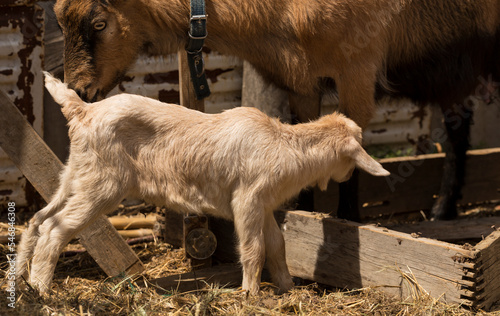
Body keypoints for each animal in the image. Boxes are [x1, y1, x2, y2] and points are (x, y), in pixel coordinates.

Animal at [54, 0, 500, 218]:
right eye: (60, 20)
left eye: (99, 23)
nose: (79, 89)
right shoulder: (301, 77)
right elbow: (305, 141)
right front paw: (304, 214)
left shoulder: (357, 66)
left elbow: (353, 153)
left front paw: (348, 221)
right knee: (458, 133)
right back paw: (444, 210)